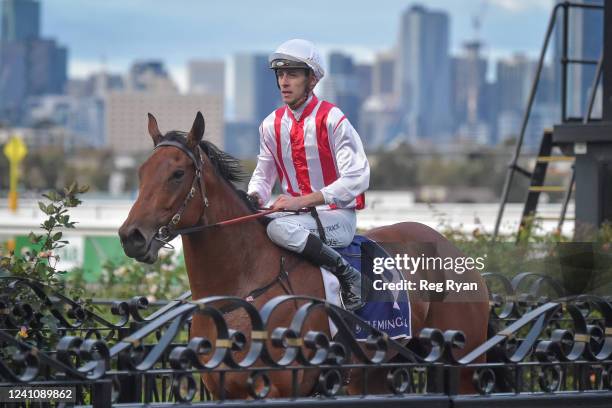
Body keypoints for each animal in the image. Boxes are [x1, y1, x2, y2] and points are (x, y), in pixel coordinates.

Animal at [119, 112, 490, 398]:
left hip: (466, 363)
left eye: (177, 174)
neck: (239, 291)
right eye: (141, 173)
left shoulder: (278, 389)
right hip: (376, 372)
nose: (130, 236)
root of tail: (452, 249)